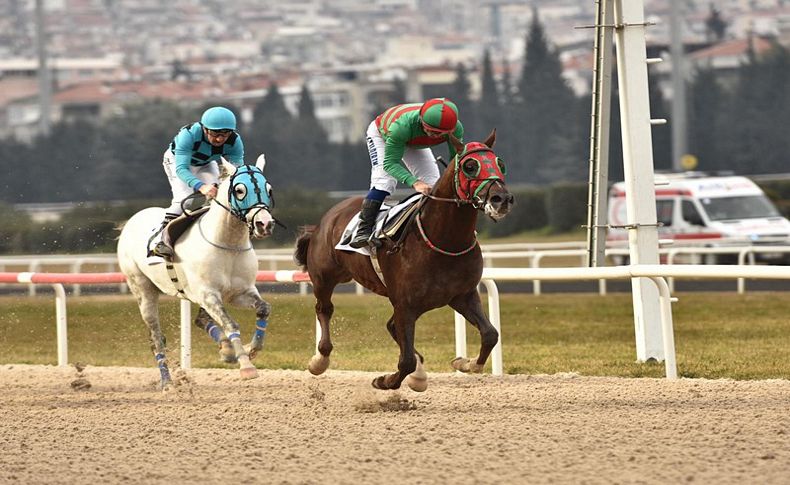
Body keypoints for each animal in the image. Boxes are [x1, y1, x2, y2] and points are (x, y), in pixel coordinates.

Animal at [117, 156, 276, 390]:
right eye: (240, 190)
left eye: (269, 189)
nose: (264, 224)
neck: (228, 243)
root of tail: (131, 221)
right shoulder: (208, 294)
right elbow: (230, 324)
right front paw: (247, 367)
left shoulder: (239, 292)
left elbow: (264, 308)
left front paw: (251, 349)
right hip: (142, 289)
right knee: (156, 338)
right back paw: (167, 382)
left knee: (200, 320)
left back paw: (226, 350)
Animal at [296, 130, 512, 392]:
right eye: (470, 166)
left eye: (500, 163)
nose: (502, 198)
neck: (445, 240)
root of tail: (326, 218)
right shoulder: (406, 304)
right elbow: (406, 360)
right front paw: (385, 380)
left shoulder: (462, 295)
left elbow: (490, 334)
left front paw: (465, 363)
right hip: (323, 277)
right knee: (324, 309)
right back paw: (320, 360)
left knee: (391, 327)